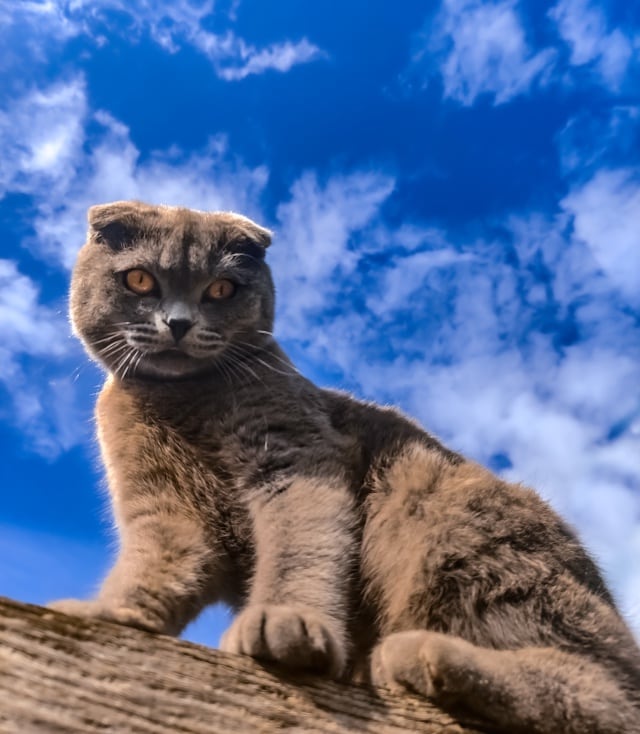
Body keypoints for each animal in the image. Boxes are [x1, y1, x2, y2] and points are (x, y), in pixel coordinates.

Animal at [51, 201, 640, 734]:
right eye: (140, 279)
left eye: (221, 290)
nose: (178, 322)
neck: (181, 402)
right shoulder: (165, 508)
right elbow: (155, 567)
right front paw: (104, 612)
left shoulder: (296, 460)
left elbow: (299, 547)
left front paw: (285, 624)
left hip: (449, 523)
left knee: (609, 693)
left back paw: (418, 655)